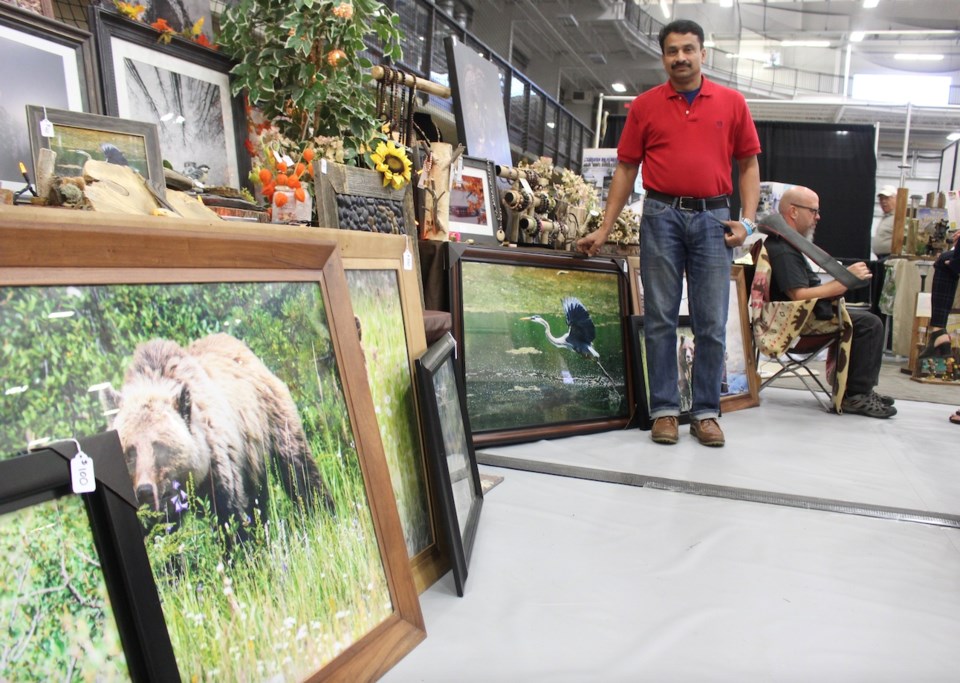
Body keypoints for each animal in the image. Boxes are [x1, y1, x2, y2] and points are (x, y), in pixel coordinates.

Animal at [102, 332, 332, 540]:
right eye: (129, 451)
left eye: (159, 446)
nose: (145, 490)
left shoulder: (218, 464)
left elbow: (230, 518)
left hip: (271, 420)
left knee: (297, 470)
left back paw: (323, 512)